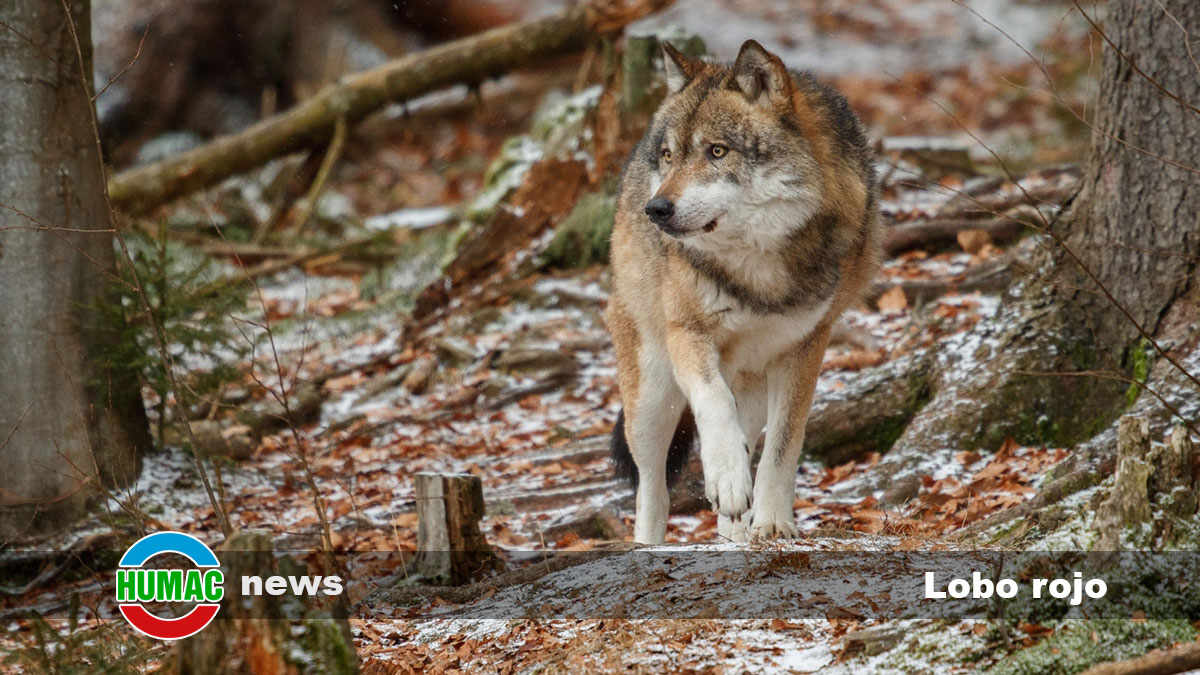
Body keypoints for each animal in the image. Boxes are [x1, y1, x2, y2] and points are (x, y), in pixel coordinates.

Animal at [604, 39, 878, 540]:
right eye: (670, 156)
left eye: (717, 151)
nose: (656, 209)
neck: (757, 268)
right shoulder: (687, 333)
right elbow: (713, 405)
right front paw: (728, 479)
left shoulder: (807, 346)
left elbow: (784, 445)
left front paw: (772, 522)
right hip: (653, 395)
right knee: (653, 487)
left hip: (748, 384)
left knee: (743, 446)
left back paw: (733, 532)